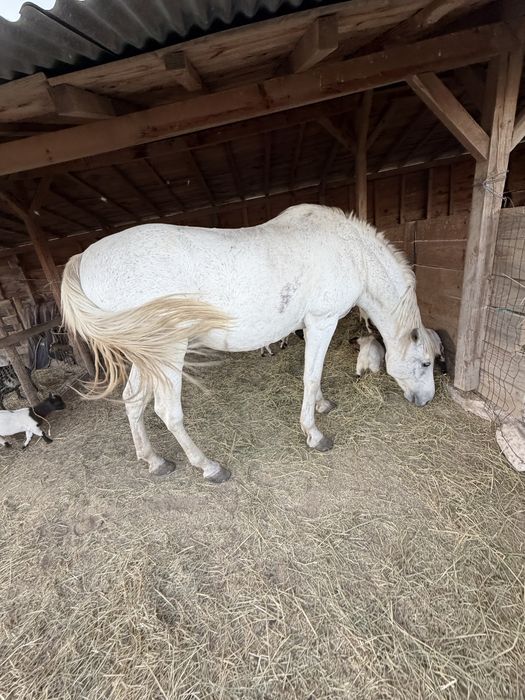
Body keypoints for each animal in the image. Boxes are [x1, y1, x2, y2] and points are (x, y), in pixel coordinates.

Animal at [61, 204, 435, 483]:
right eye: (427, 363)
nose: (426, 400)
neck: (352, 251)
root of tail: (85, 257)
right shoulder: (322, 322)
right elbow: (311, 375)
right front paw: (314, 434)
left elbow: (313, 379)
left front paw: (321, 405)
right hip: (168, 352)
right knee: (167, 411)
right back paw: (209, 467)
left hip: (147, 355)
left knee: (133, 401)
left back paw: (154, 460)